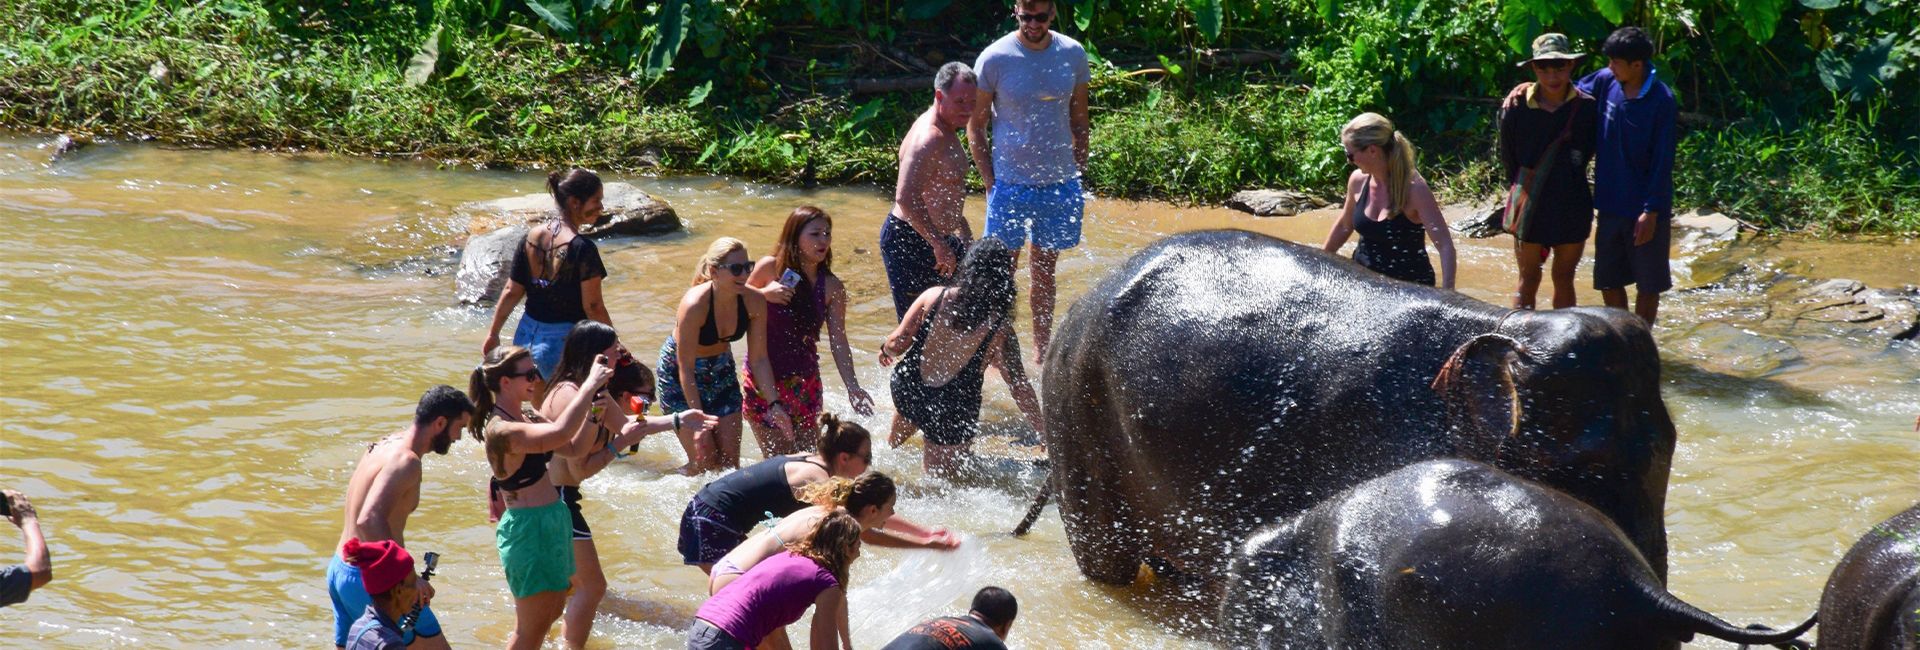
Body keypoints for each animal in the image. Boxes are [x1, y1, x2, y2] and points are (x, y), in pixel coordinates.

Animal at [1036, 230, 1681, 602]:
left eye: (1671, 445)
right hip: (1077, 410)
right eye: (1591, 467)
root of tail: (1088, 293)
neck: (1506, 324)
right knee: (1105, 563)